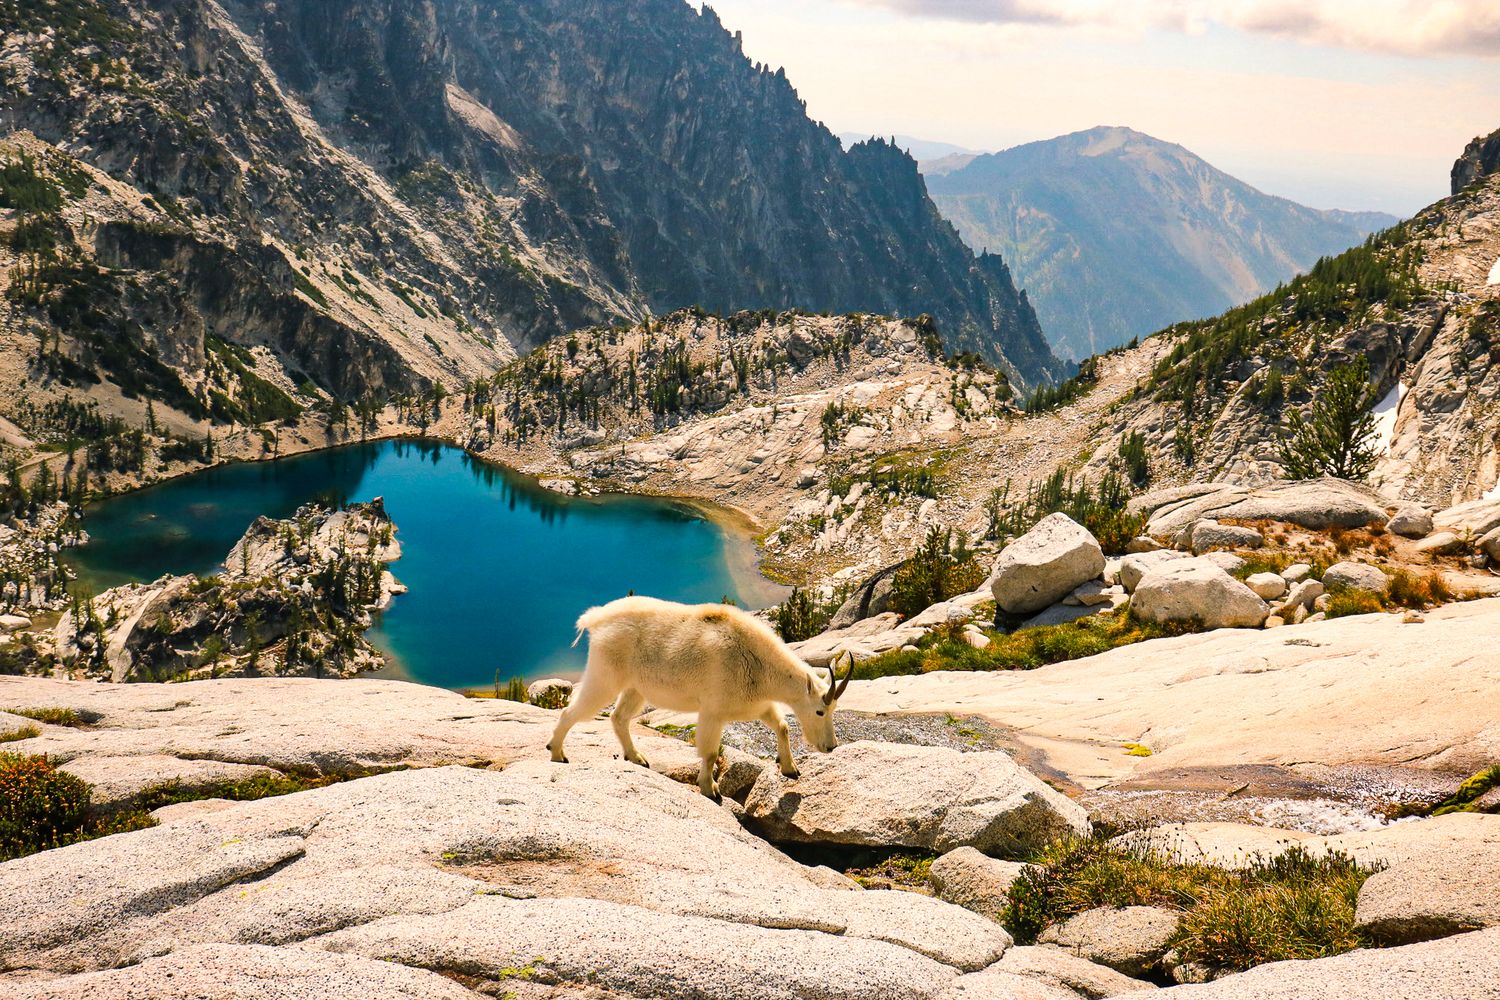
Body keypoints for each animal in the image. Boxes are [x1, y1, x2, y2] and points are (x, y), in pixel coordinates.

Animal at [548, 595, 852, 799]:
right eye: (820, 711)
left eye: (834, 710)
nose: (830, 747)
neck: (757, 663)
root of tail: (594, 619)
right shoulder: (713, 711)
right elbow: (709, 752)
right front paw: (711, 789)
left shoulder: (755, 705)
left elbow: (782, 725)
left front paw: (790, 769)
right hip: (606, 675)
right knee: (571, 711)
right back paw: (557, 753)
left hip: (636, 688)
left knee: (618, 717)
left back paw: (637, 757)